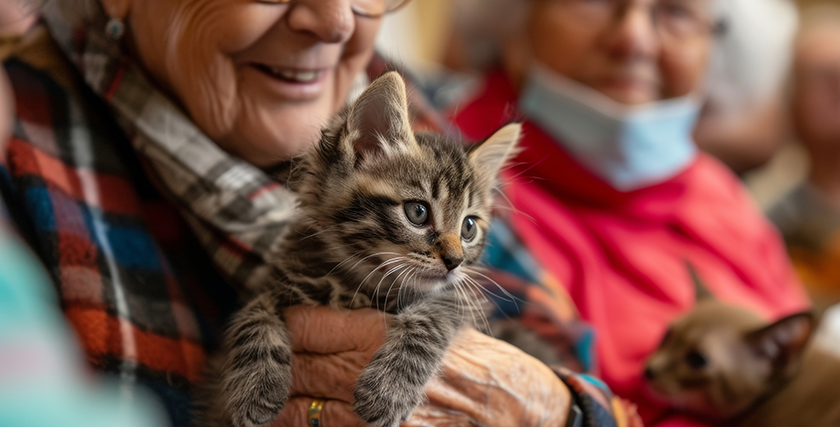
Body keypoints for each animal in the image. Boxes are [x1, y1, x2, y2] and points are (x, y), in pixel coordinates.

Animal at [200, 72, 520, 427]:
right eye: (418, 212)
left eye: (468, 228)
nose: (455, 261)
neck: (360, 280)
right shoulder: (277, 282)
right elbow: (254, 314)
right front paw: (256, 386)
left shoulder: (460, 302)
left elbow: (432, 317)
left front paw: (389, 388)